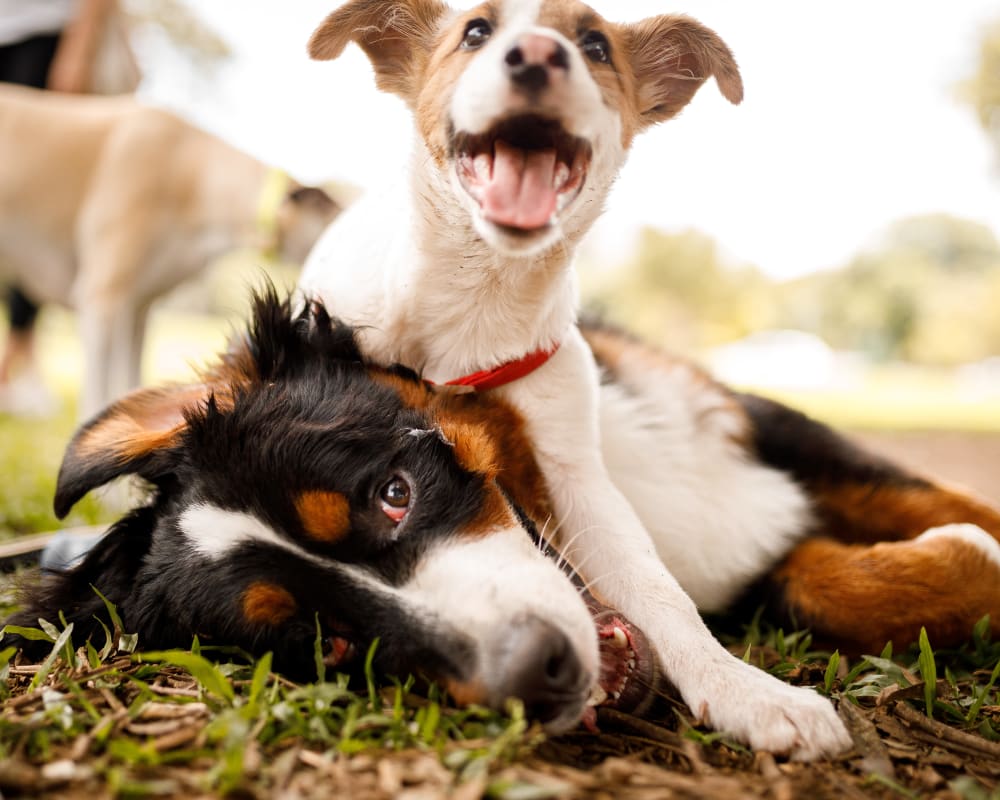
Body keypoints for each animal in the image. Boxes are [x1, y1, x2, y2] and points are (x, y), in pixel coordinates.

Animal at [300, 1, 1000, 764]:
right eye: (475, 32)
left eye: (595, 45)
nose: (537, 56)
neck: (474, 304)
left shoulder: (579, 469)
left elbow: (663, 590)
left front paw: (743, 687)